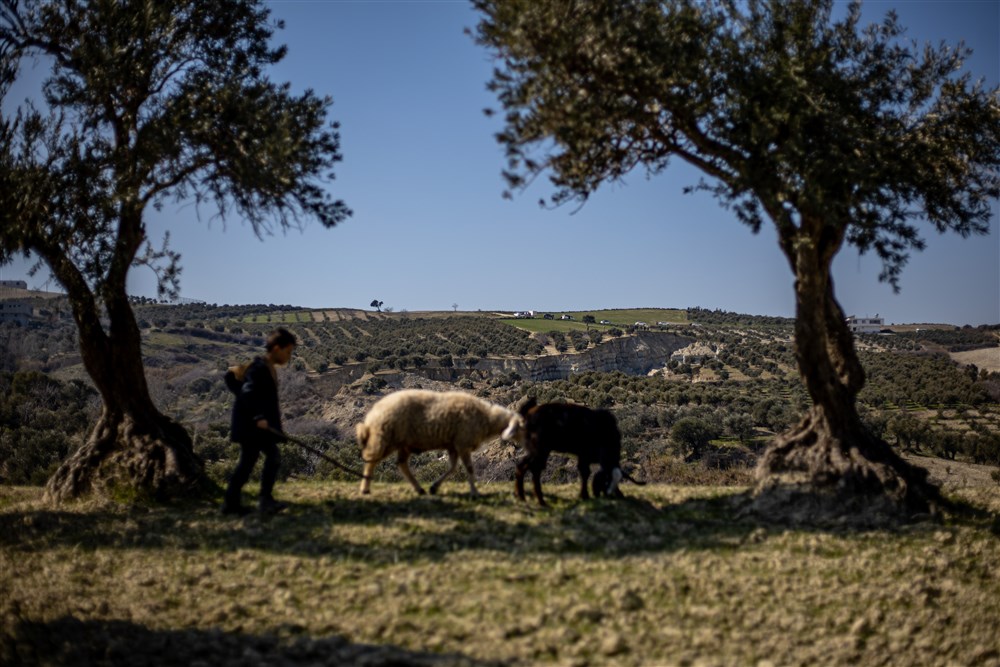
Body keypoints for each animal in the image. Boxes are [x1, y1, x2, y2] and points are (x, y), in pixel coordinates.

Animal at [356, 392, 524, 496]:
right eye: (521, 427)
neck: (486, 418)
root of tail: (372, 415)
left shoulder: (454, 446)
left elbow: (453, 468)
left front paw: (434, 486)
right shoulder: (463, 443)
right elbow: (469, 468)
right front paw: (475, 492)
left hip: (403, 444)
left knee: (402, 464)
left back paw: (419, 489)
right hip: (385, 438)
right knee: (371, 460)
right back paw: (365, 489)